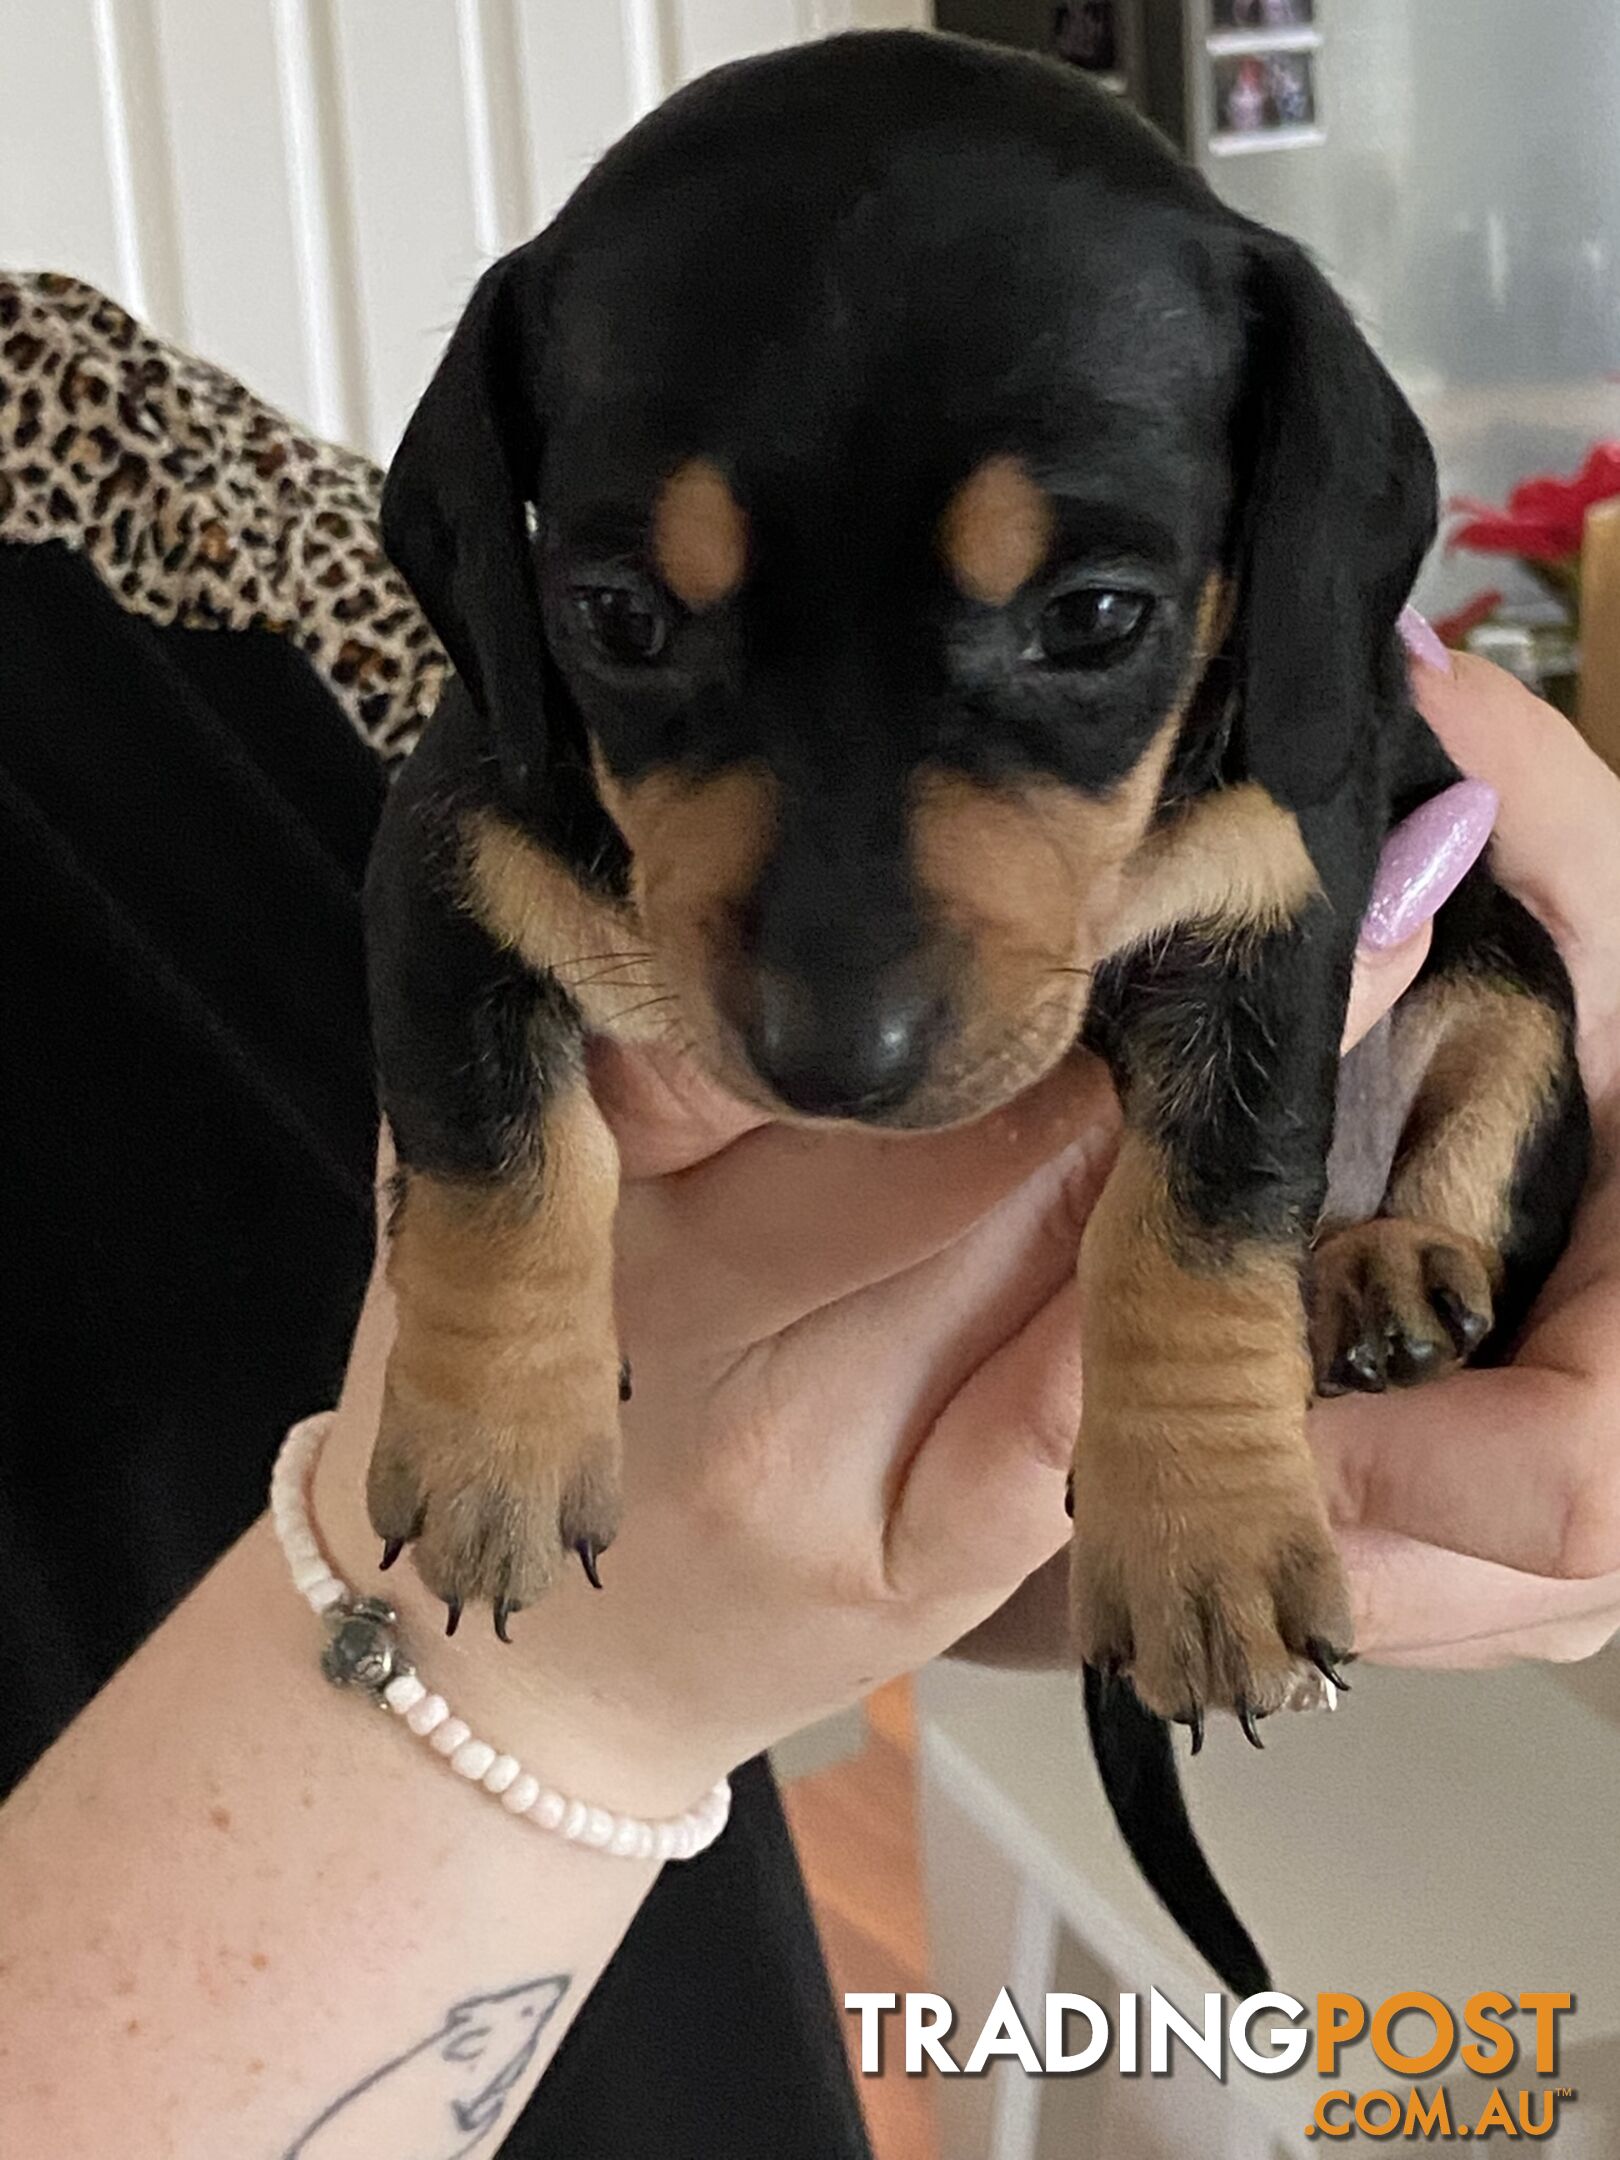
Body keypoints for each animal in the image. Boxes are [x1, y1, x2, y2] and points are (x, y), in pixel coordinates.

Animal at [365, 33, 1589, 1987]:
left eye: (1094, 618)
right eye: (614, 615)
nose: (827, 1059)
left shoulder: (1287, 898)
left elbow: (1205, 1214)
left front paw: (1206, 1534)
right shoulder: (444, 858)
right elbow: (489, 1149)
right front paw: (493, 1437)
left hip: (1501, 951)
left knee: (1492, 1103)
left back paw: (1395, 1264)